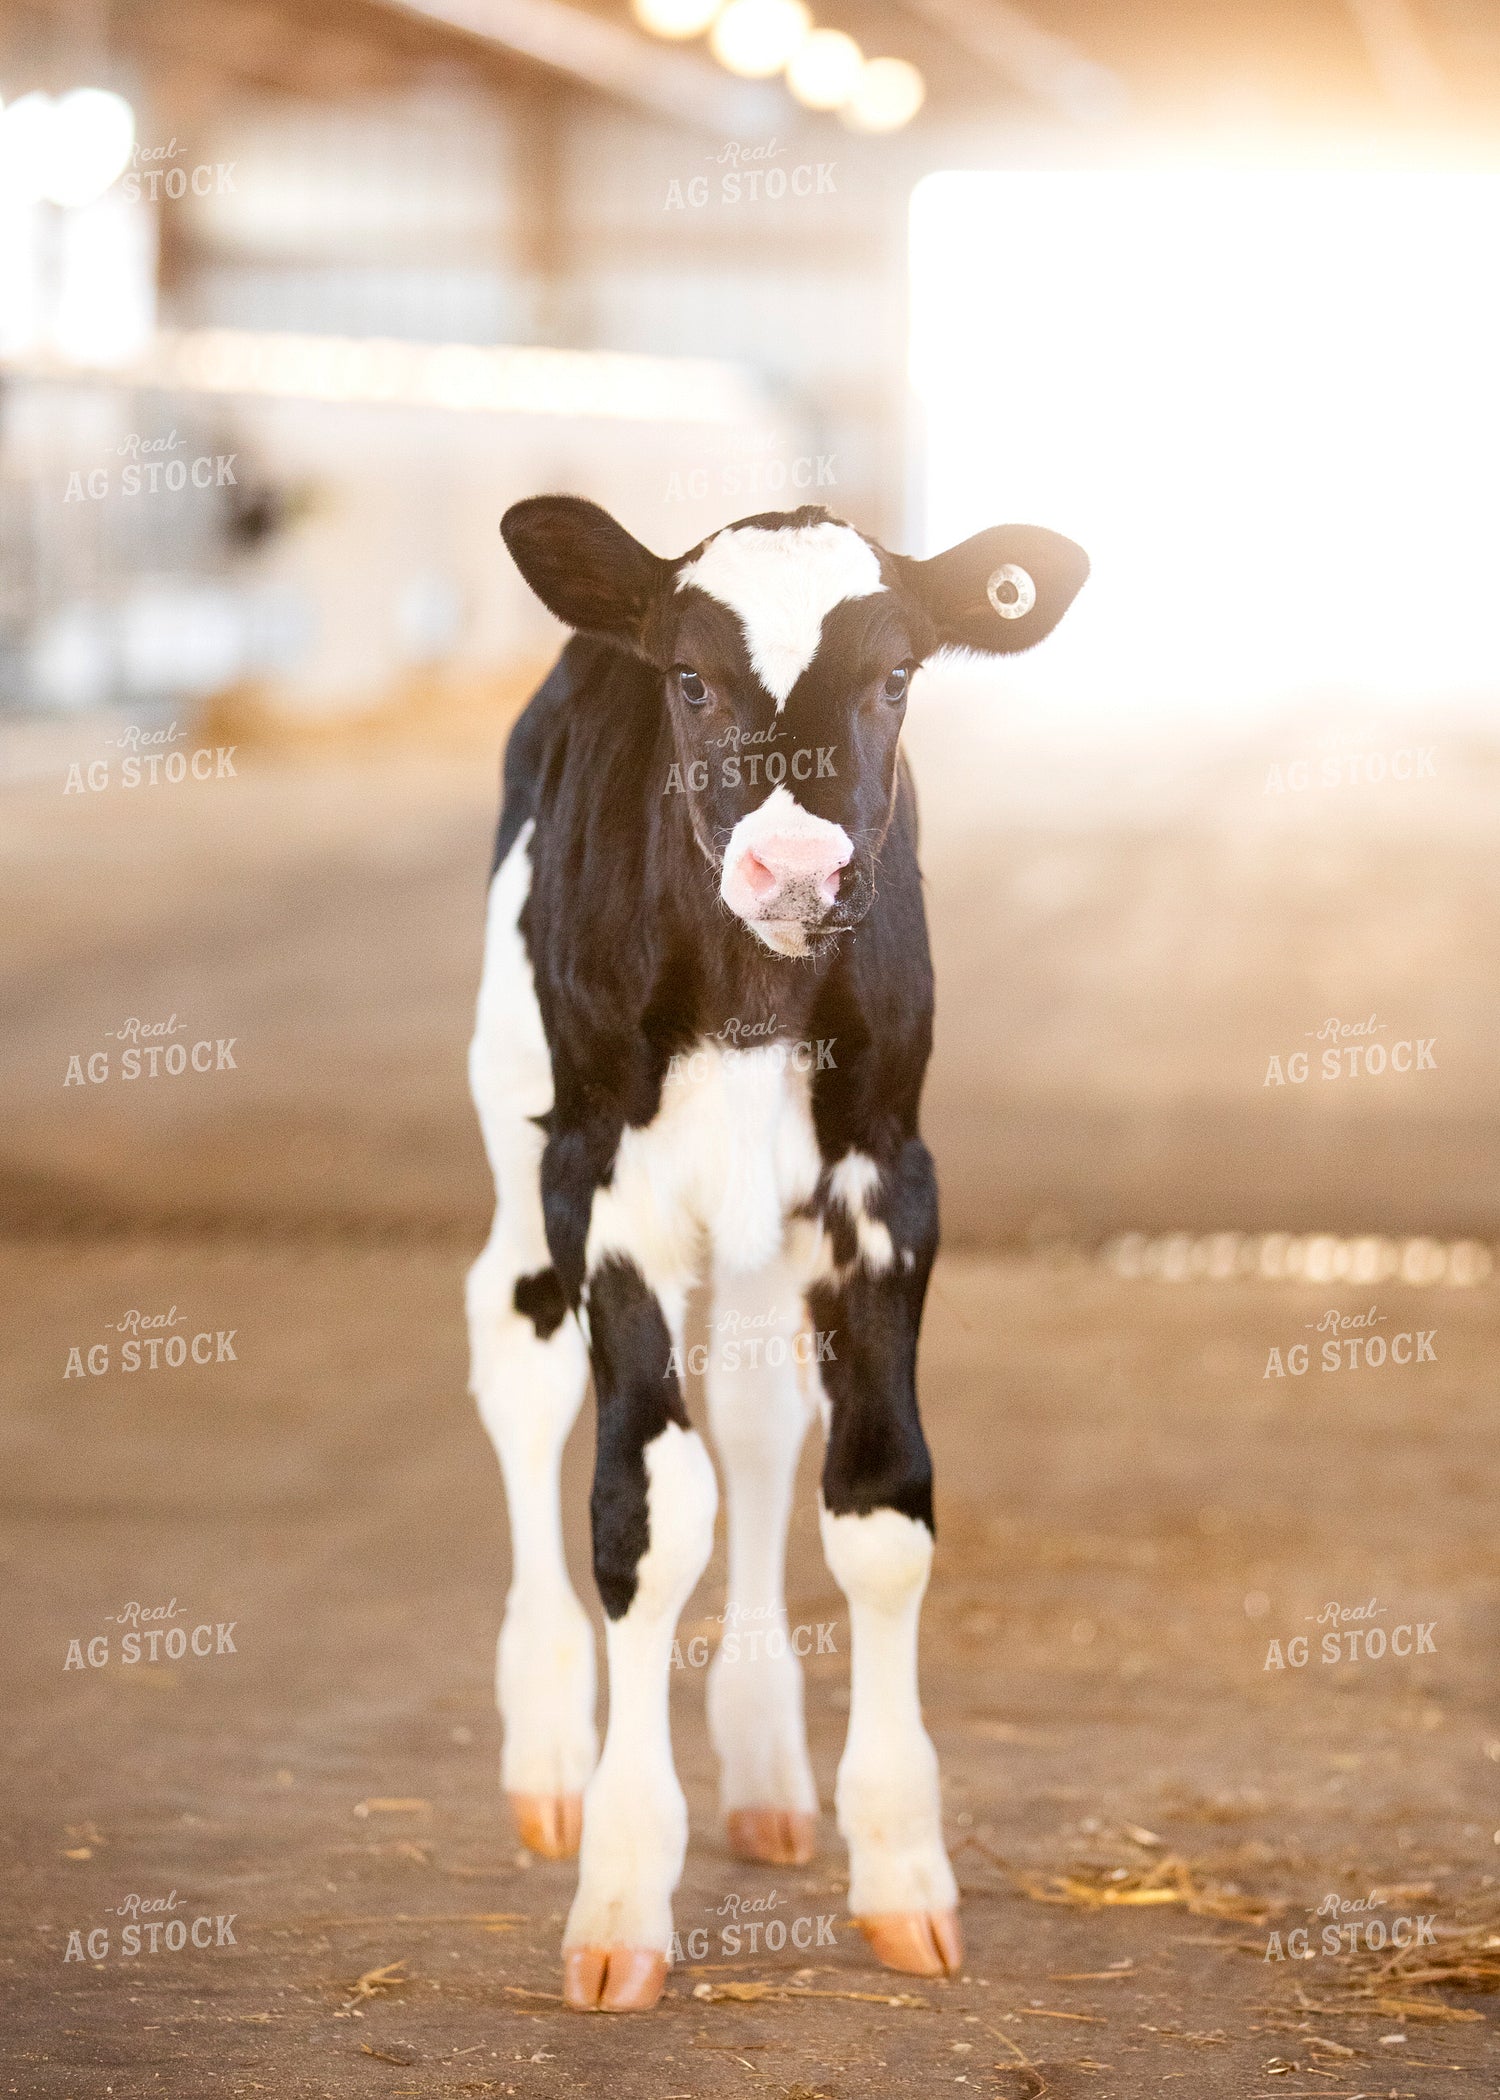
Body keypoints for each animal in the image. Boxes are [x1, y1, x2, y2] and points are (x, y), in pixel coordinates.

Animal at [466, 497, 1088, 2011]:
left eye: (898, 678)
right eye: (691, 683)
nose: (799, 870)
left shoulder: (890, 1178)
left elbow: (878, 1507)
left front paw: (904, 1871)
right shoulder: (602, 1191)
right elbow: (643, 1518)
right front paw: (620, 1897)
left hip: (758, 1211)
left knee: (753, 1416)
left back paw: (761, 1774)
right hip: (516, 1130)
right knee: (521, 1367)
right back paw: (547, 1758)